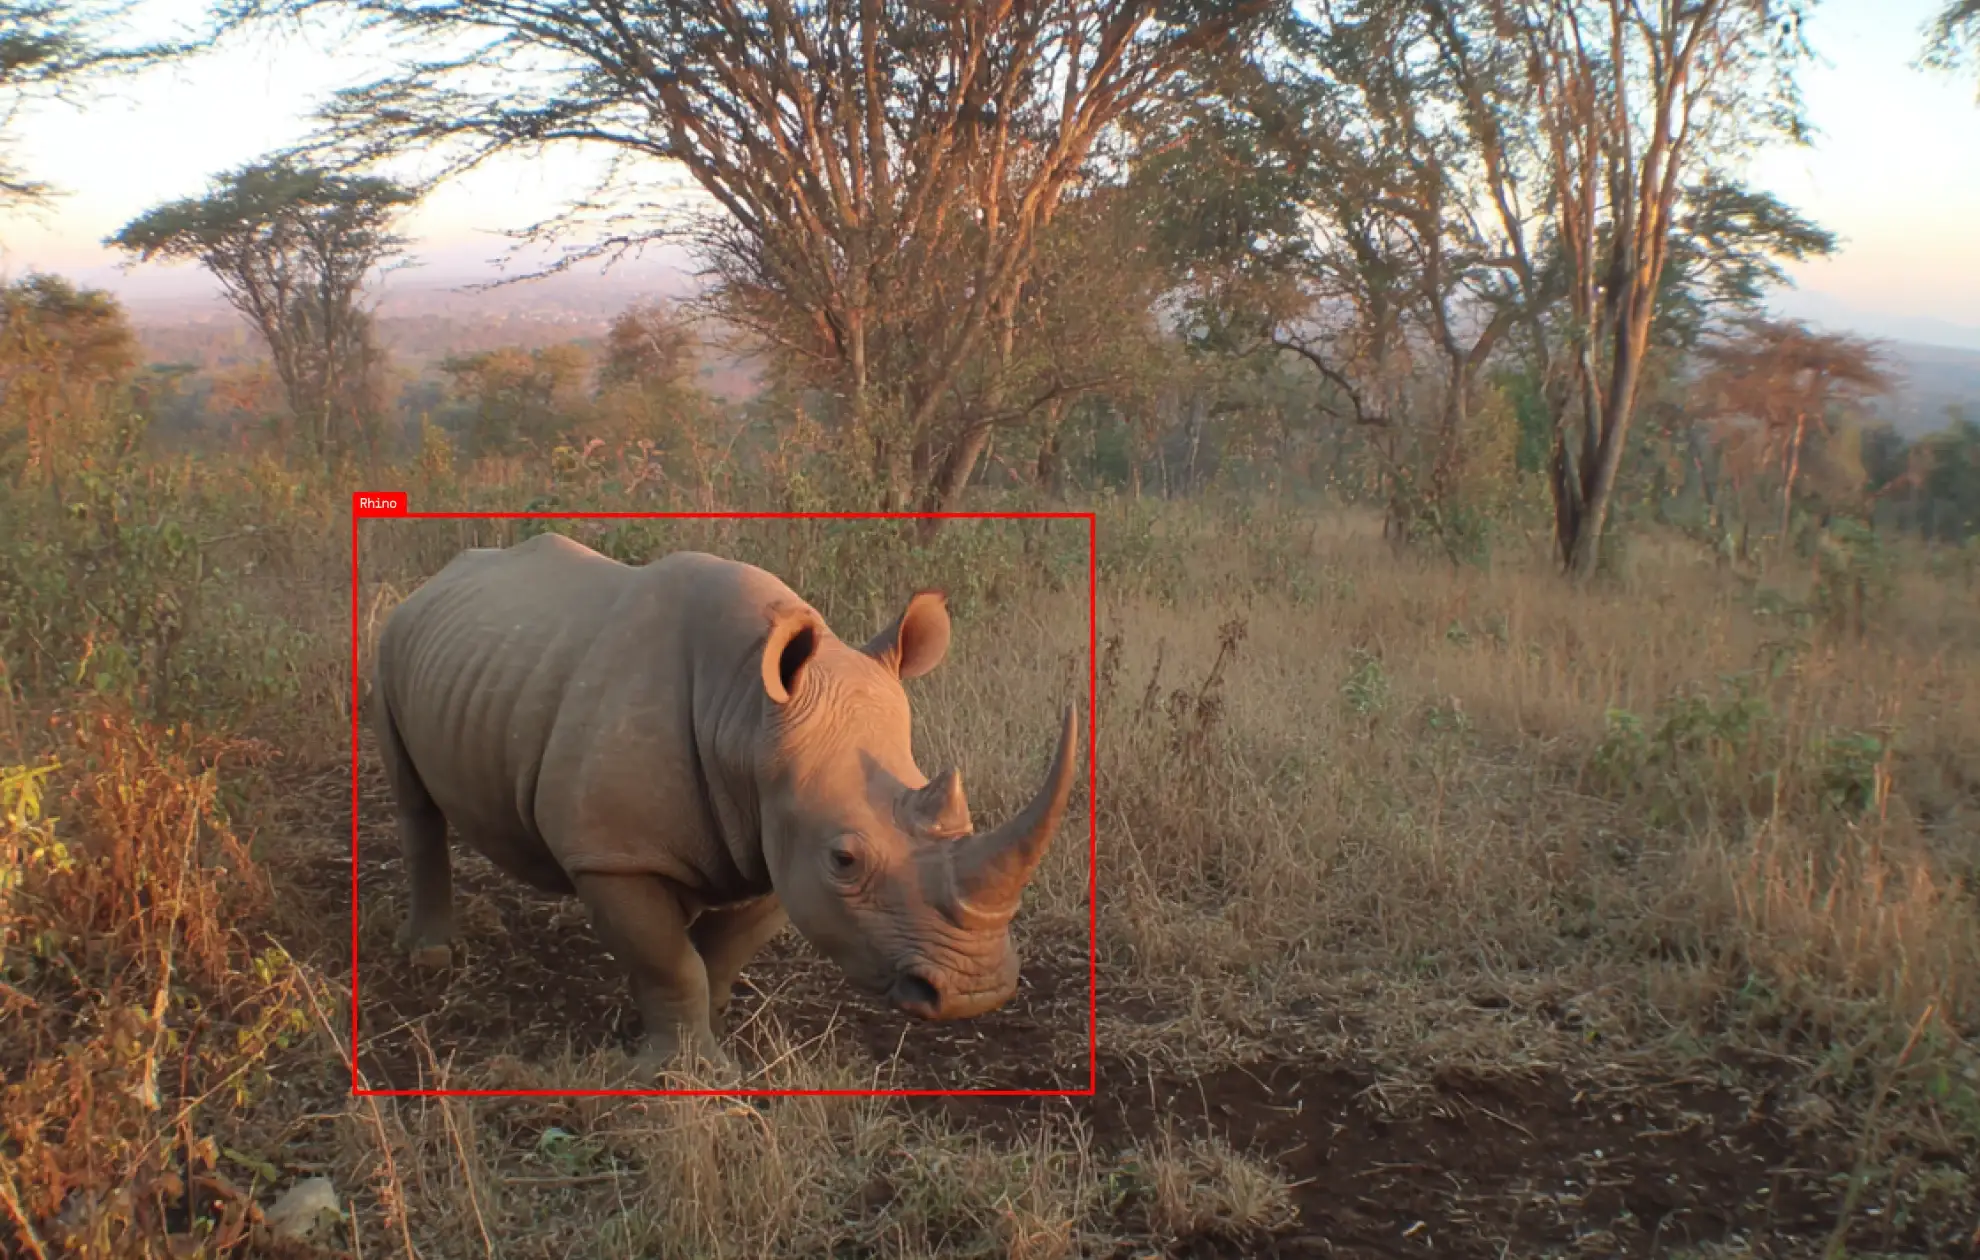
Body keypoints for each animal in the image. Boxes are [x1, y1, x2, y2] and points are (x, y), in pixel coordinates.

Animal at [369, 532, 1079, 1075]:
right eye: (844, 860)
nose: (974, 993)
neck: (743, 714)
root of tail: (435, 580)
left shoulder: (775, 840)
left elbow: (717, 957)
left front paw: (709, 1038)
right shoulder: (616, 855)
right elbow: (671, 962)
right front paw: (682, 1074)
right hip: (390, 638)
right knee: (414, 801)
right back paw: (430, 957)